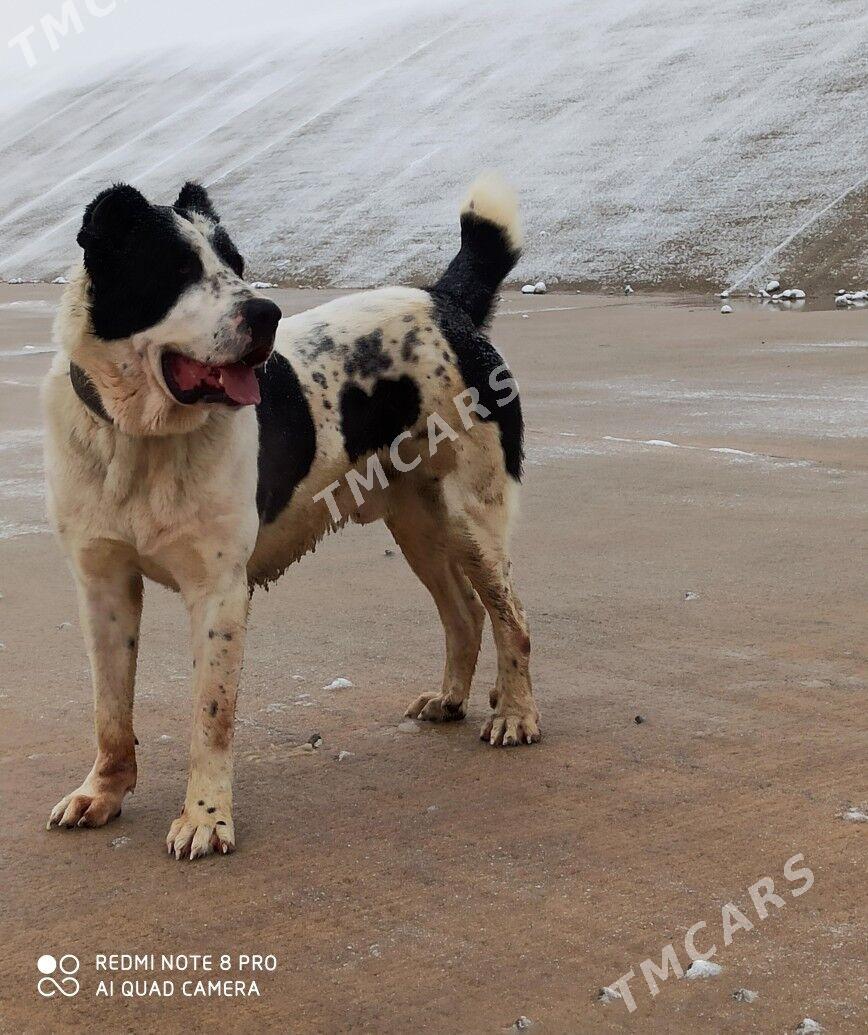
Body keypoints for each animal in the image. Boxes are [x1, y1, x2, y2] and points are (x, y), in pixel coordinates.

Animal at [42, 173, 542, 861]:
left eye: (236, 264)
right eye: (175, 268)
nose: (266, 315)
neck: (141, 438)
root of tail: (444, 302)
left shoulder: (218, 593)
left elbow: (211, 717)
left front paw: (205, 817)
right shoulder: (103, 587)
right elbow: (110, 709)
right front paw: (105, 792)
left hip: (473, 519)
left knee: (511, 618)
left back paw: (515, 714)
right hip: (418, 527)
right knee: (465, 614)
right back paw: (449, 699)